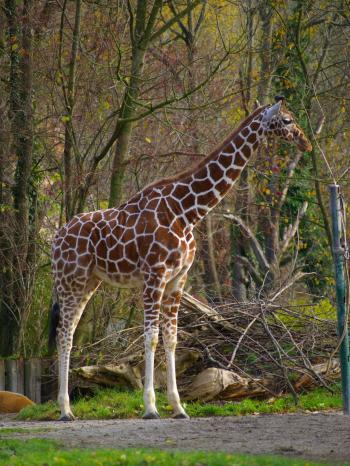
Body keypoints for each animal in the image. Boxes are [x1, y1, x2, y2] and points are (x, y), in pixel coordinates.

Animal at [49, 99, 312, 422]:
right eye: (287, 120)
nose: (305, 142)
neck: (187, 211)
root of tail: (56, 238)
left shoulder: (178, 278)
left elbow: (172, 338)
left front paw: (178, 407)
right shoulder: (154, 275)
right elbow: (150, 337)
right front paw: (150, 407)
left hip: (89, 282)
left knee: (70, 331)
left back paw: (67, 408)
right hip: (70, 280)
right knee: (63, 333)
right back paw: (65, 410)